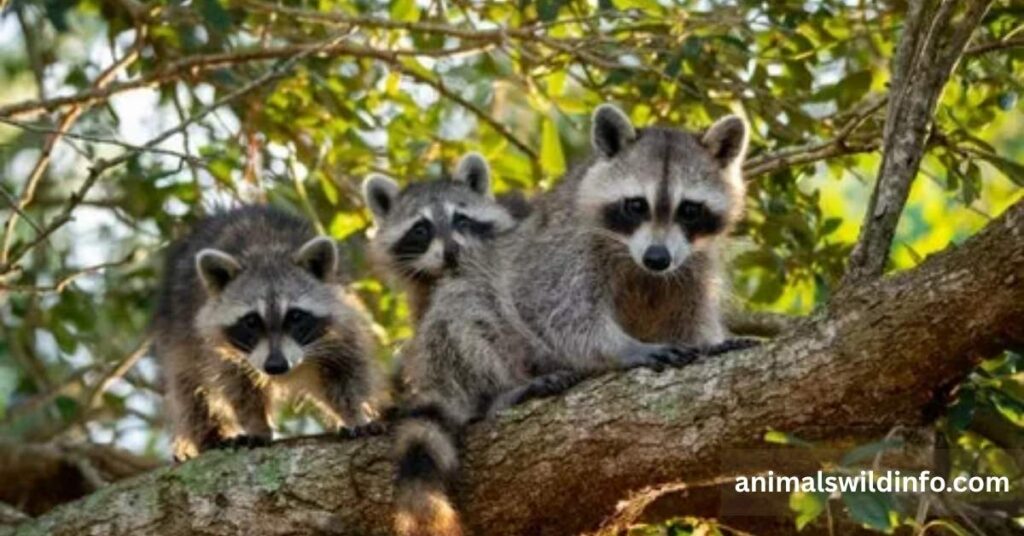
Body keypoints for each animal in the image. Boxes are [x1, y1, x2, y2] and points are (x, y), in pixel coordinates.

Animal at [152, 205, 383, 461]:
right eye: (251, 321)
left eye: (295, 316)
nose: (275, 366)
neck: (265, 251)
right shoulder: (213, 343)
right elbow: (236, 386)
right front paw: (256, 424)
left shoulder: (341, 328)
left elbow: (347, 374)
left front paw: (355, 414)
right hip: (176, 328)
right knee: (187, 386)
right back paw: (209, 435)